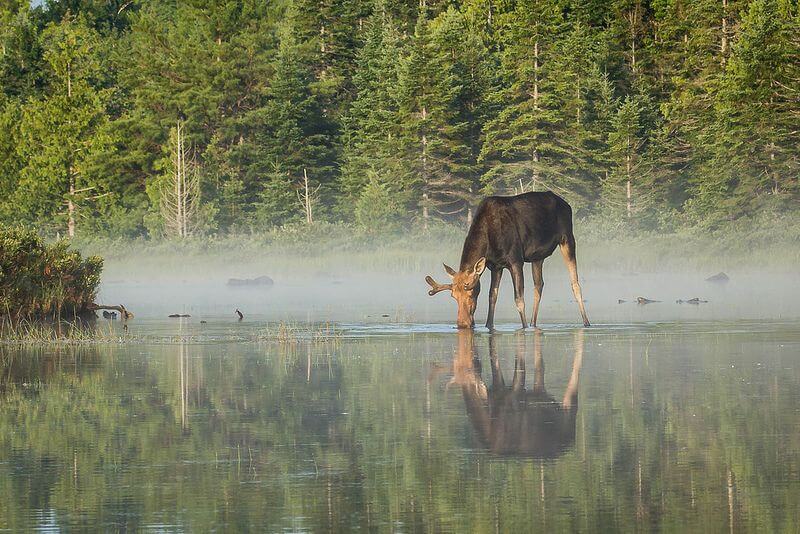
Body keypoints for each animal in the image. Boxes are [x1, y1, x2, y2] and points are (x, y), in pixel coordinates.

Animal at [424, 191, 588, 328]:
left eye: (471, 292)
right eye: (453, 296)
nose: (462, 323)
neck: (489, 242)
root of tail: (567, 205)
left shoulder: (516, 261)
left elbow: (519, 299)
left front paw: (524, 327)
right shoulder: (495, 266)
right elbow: (492, 297)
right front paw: (488, 325)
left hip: (567, 239)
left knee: (575, 283)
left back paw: (586, 322)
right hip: (537, 256)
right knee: (539, 285)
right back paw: (533, 323)